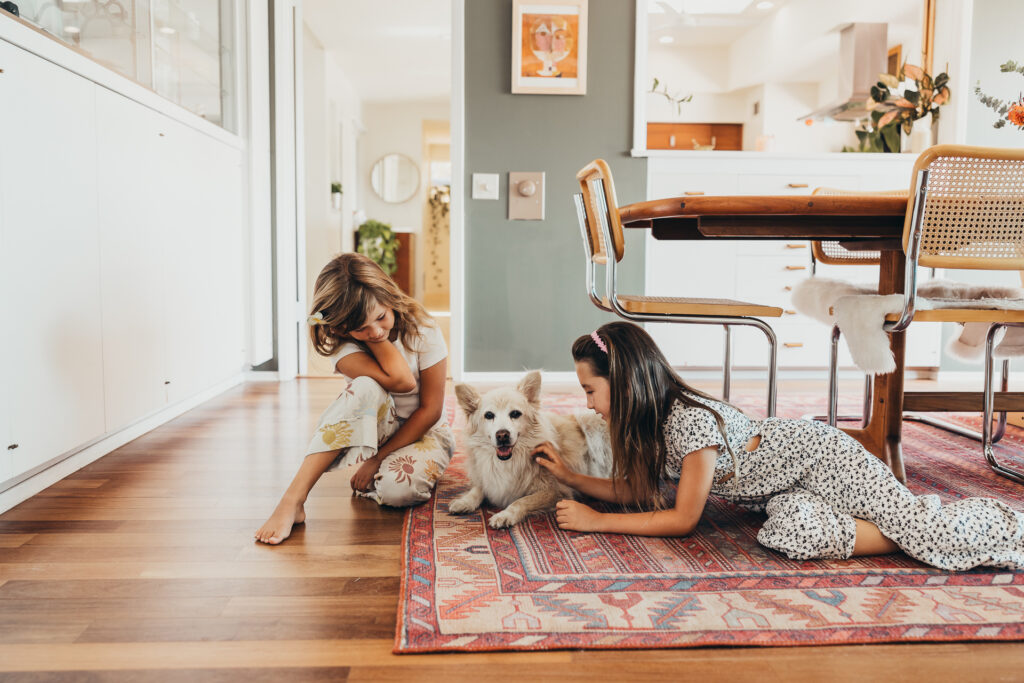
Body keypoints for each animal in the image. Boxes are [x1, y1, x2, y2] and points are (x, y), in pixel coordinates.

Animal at [448, 374, 606, 528]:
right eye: (489, 415)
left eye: (515, 414)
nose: (502, 435)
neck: (507, 462)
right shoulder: (488, 478)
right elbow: (478, 489)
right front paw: (464, 501)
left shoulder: (554, 491)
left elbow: (521, 501)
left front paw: (505, 515)